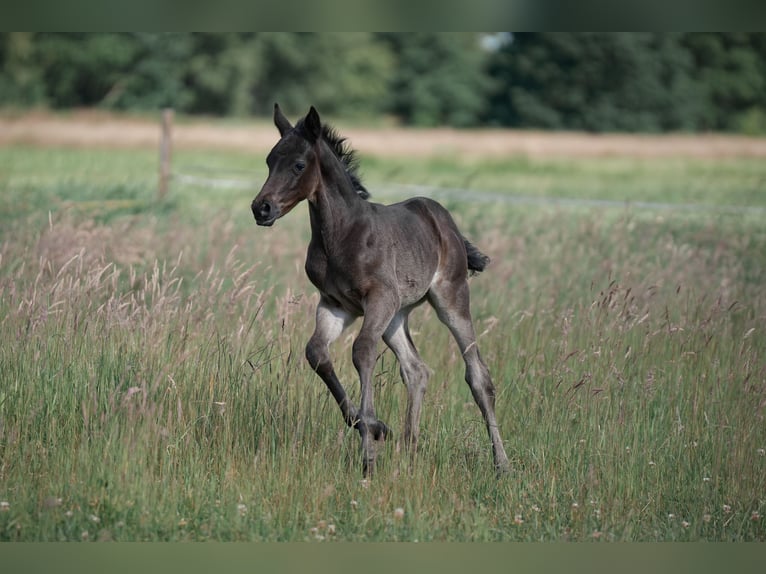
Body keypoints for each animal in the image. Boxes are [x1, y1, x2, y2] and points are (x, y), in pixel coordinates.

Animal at [252, 106, 510, 480]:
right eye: (270, 160)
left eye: (299, 165)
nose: (261, 208)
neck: (342, 235)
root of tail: (445, 221)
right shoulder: (335, 305)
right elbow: (316, 353)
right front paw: (375, 427)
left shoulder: (377, 298)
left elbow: (362, 352)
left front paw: (369, 452)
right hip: (396, 316)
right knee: (417, 370)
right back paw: (409, 452)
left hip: (450, 299)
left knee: (477, 374)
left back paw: (501, 463)